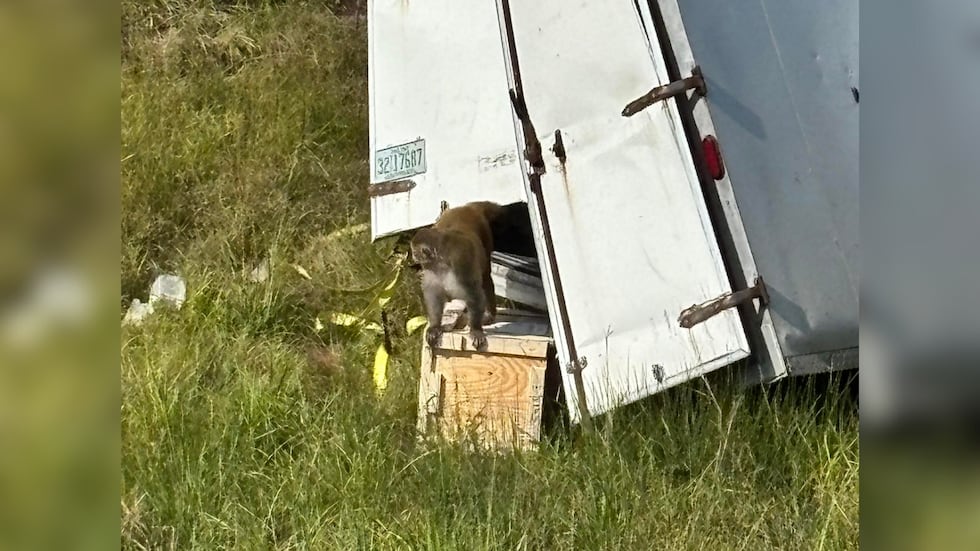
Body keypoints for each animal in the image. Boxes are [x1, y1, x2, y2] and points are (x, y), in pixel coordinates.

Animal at [410, 201, 503, 350]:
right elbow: (434, 294)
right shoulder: (431, 268)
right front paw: (435, 326)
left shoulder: (460, 261)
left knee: (485, 277)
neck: (441, 260)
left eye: (414, 252)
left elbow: (473, 293)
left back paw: (489, 315)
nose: (413, 256)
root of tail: (466, 207)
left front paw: (475, 329)